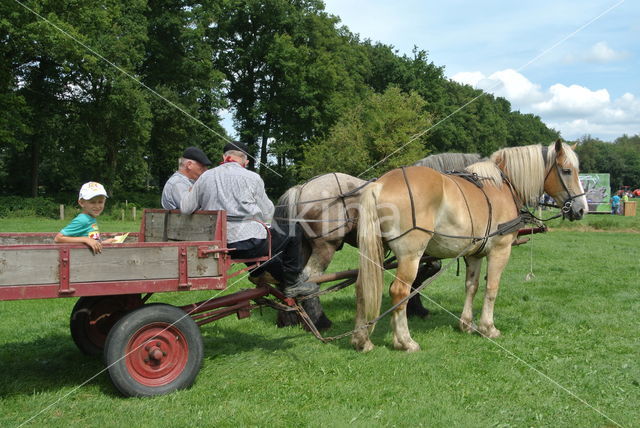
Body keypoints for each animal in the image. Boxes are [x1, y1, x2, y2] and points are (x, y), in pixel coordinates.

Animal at [352, 140, 588, 352]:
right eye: (567, 171)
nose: (581, 209)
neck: (504, 185)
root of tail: (380, 184)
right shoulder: (500, 250)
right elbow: (492, 287)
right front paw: (488, 327)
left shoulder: (474, 254)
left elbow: (471, 286)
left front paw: (466, 323)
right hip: (411, 255)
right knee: (400, 291)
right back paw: (405, 341)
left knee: (363, 287)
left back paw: (362, 339)